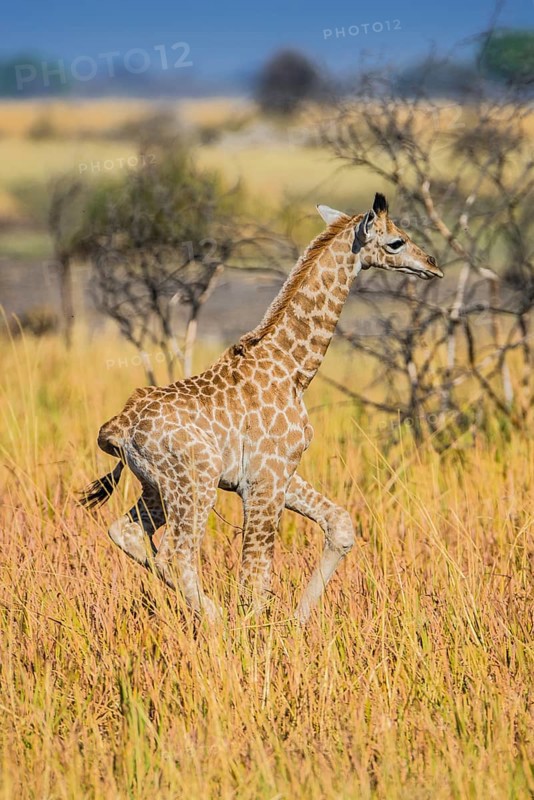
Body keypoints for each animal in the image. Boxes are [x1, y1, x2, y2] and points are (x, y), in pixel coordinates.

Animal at [80, 193, 443, 623]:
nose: (433, 265)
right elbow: (255, 575)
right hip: (195, 482)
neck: (292, 368)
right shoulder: (264, 480)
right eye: (396, 242)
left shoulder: (280, 471)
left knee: (130, 533)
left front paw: (298, 621)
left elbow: (339, 525)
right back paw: (219, 625)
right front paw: (262, 632)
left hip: (158, 485)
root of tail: (118, 427)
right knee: (176, 555)